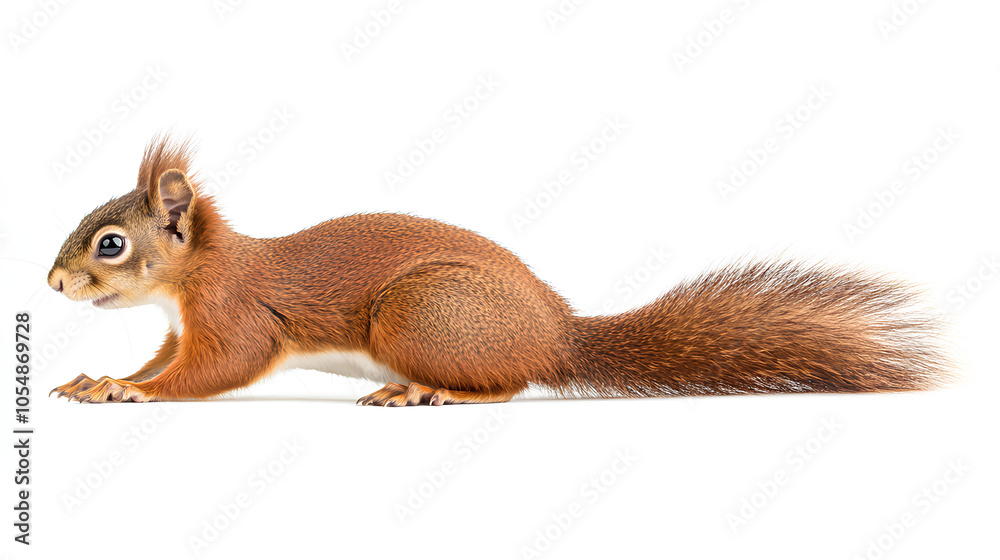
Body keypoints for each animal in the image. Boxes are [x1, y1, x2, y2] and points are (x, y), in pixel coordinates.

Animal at [48, 136, 951, 406]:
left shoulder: (236, 313)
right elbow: (163, 359)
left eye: (110, 245)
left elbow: (216, 369)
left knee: (512, 384)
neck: (193, 277)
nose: (53, 285)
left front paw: (131, 393)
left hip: (418, 315)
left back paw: (428, 392)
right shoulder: (178, 329)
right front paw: (99, 379)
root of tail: (559, 336)